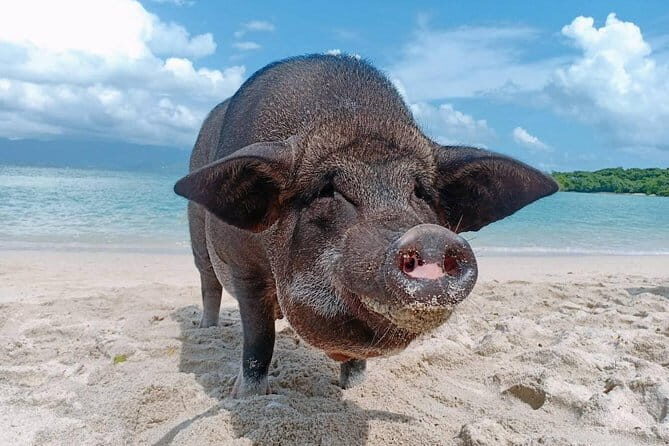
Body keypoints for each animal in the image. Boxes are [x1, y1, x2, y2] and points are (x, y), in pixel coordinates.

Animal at [174, 54, 557, 397]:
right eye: (327, 190)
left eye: (420, 191)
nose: (429, 236)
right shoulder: (243, 267)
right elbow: (258, 339)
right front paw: (246, 397)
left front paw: (354, 388)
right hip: (197, 239)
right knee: (209, 284)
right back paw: (206, 329)